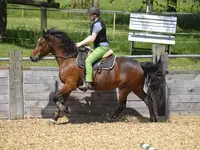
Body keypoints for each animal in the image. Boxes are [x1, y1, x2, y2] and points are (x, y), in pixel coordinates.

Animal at [29, 27, 164, 123]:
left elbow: (55, 98)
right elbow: (60, 100)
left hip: (125, 88)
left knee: (122, 105)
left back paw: (109, 119)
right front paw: (54, 118)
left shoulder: (70, 85)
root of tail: (139, 64)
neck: (69, 59)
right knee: (147, 99)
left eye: (41, 43)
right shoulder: (68, 86)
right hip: (136, 88)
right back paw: (152, 119)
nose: (31, 57)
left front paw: (65, 109)